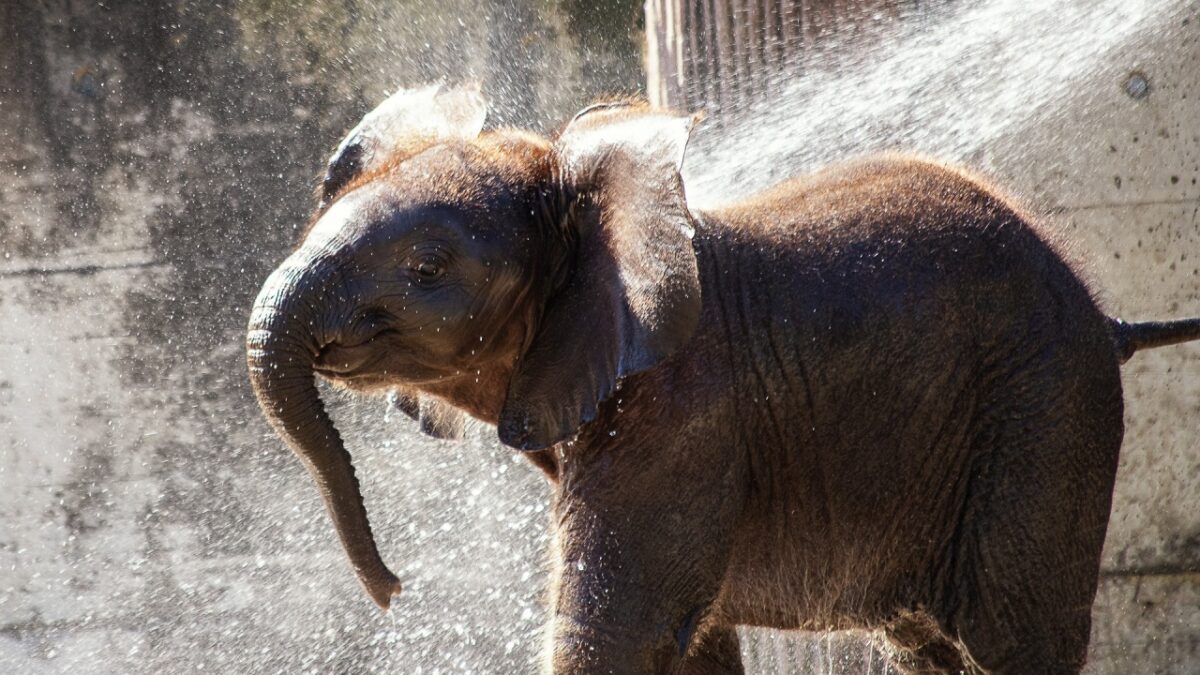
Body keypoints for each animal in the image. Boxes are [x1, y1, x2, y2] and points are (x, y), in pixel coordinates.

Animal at [246, 85, 1200, 672]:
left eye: (428, 268)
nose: (394, 590)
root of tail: (1108, 318)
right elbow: (687, 642)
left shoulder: (684, 411)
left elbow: (616, 631)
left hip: (1044, 405)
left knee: (1014, 635)